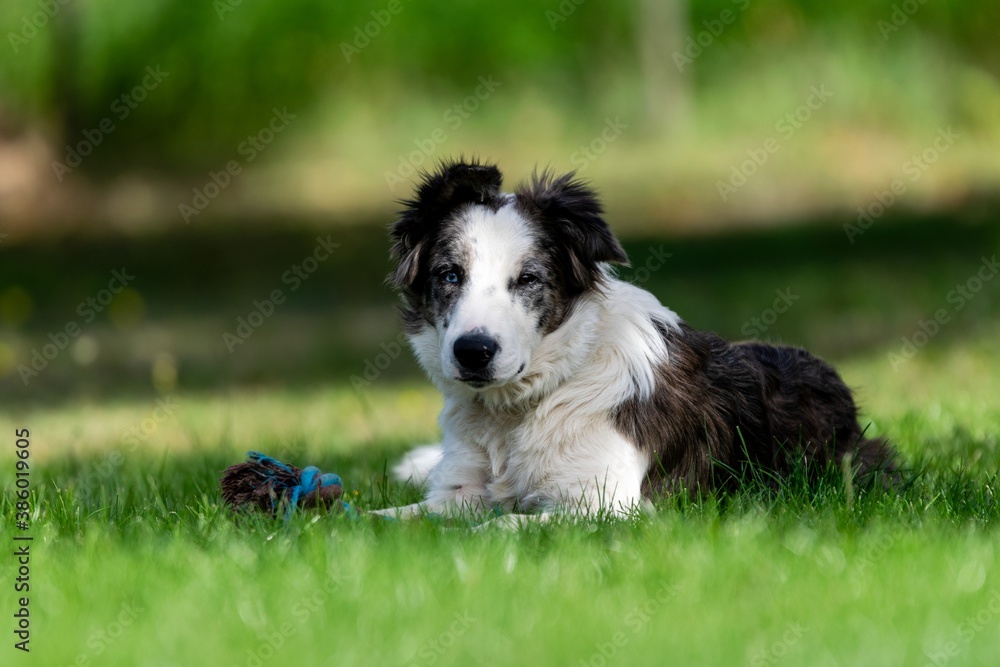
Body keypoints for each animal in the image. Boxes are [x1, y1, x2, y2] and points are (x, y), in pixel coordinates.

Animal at [376, 160, 900, 520]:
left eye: (528, 279)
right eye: (449, 275)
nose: (473, 352)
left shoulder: (606, 505)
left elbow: (501, 526)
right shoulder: (458, 494)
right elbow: (383, 518)